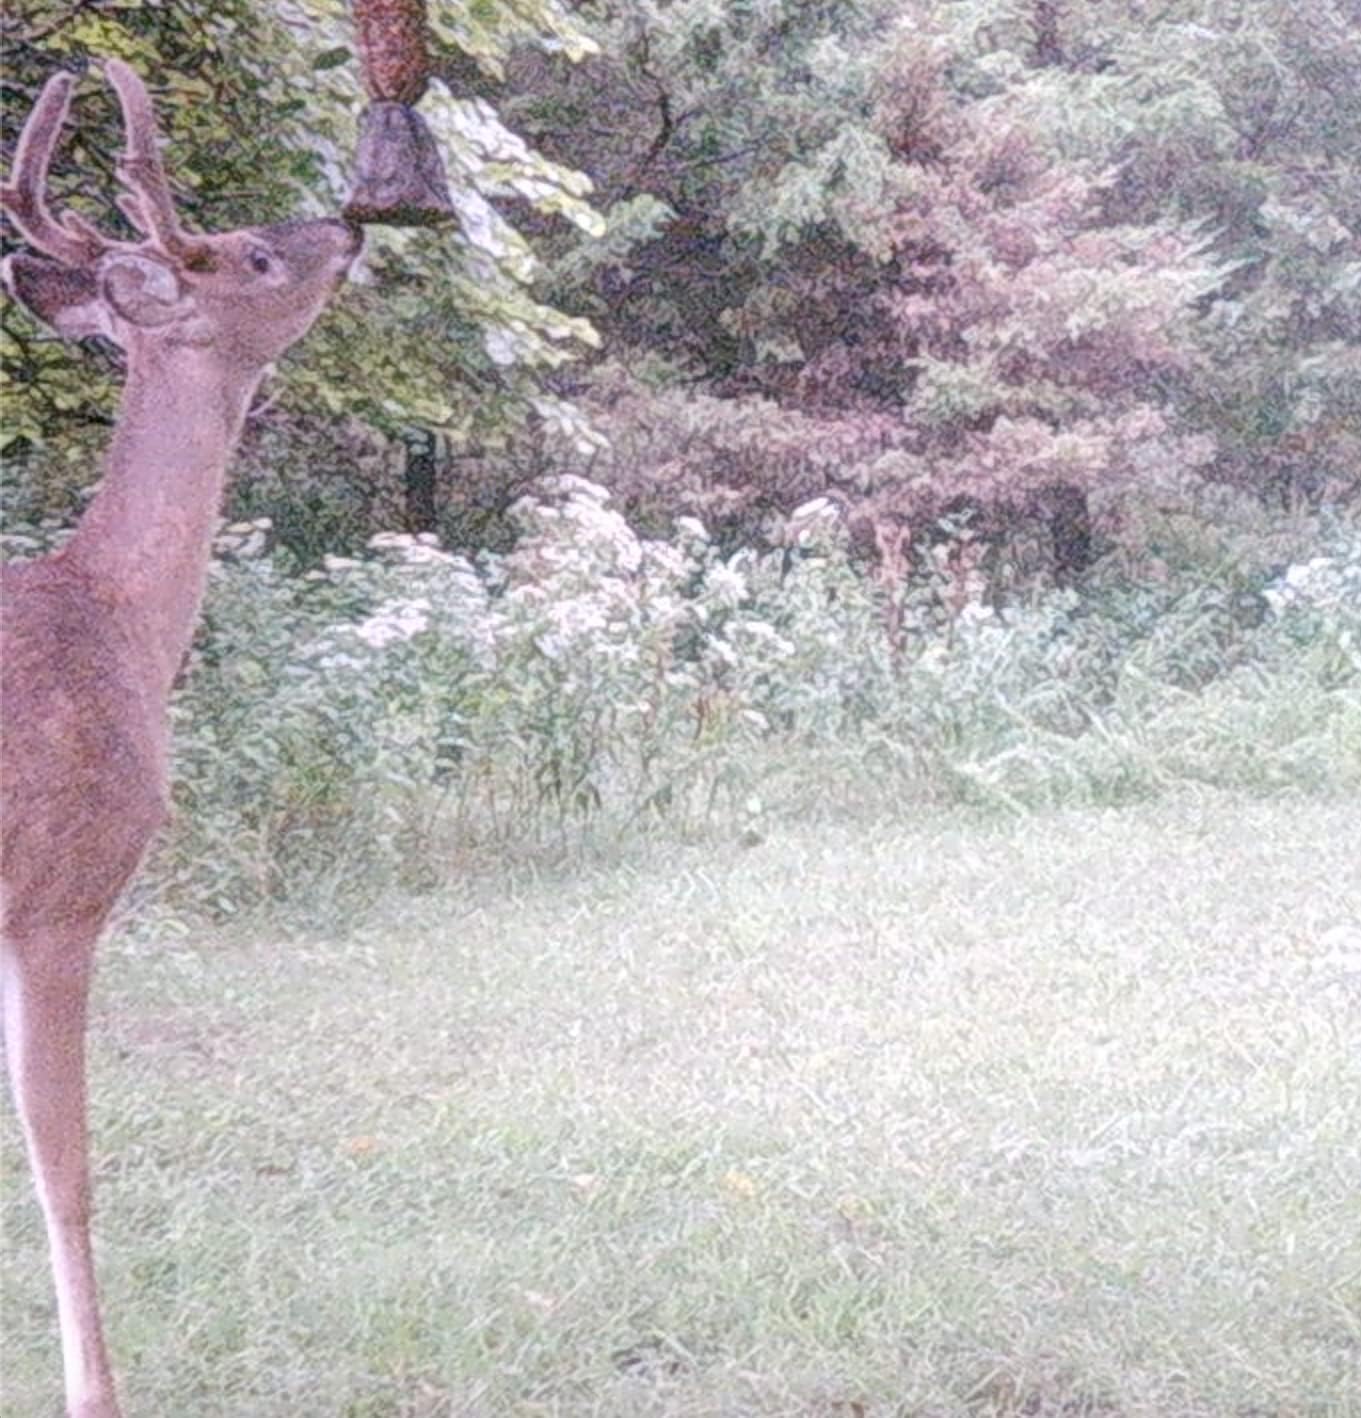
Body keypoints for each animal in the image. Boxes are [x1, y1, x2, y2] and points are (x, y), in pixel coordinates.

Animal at [1, 60, 362, 1418]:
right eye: (254, 253)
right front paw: (94, 1394)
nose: (350, 224)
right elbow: (66, 1172)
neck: (115, 619)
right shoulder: (59, 891)